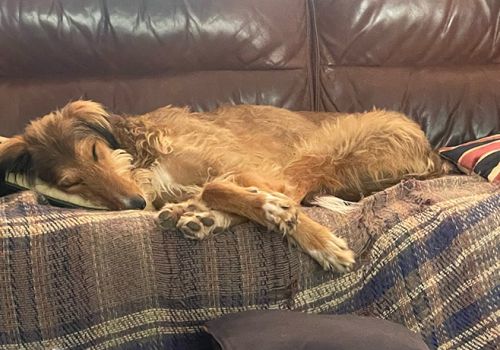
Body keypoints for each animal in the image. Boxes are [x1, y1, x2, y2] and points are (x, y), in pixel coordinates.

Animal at [0, 100, 446, 270]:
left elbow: (223, 187)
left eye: (94, 152)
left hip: (325, 147)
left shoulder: (249, 167)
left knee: (294, 192)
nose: (134, 203)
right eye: (73, 181)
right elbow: (215, 190)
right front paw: (202, 211)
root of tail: (431, 150)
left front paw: (322, 242)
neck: (145, 161)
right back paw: (200, 217)